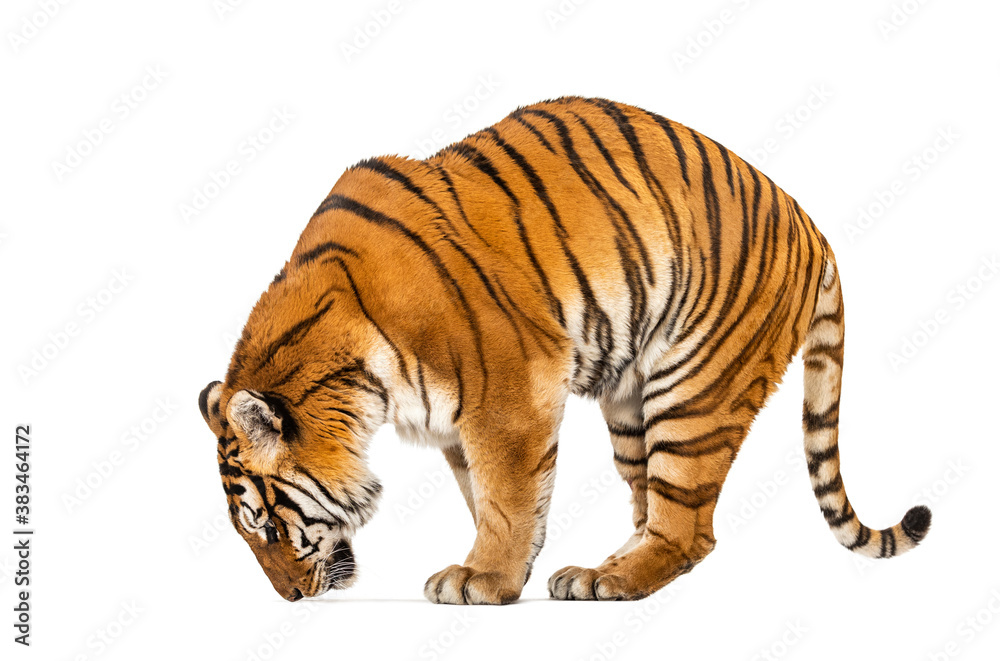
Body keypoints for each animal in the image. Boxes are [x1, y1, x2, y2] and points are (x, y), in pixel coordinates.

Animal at [198, 96, 931, 605]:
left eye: (267, 527)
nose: (291, 598)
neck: (355, 383)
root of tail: (813, 227)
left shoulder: (508, 394)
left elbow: (507, 494)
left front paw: (484, 577)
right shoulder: (458, 423)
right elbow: (490, 494)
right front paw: (505, 569)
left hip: (696, 388)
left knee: (687, 526)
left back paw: (616, 580)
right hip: (631, 403)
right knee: (649, 503)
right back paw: (595, 570)